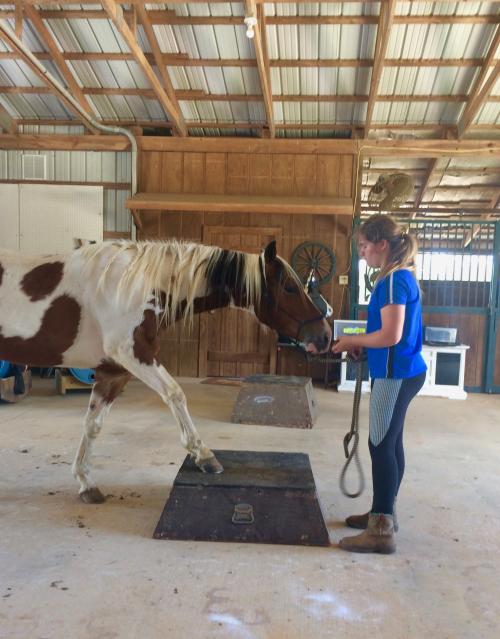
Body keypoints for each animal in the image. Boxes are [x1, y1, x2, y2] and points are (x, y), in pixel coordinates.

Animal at [0, 240, 332, 504]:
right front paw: (204, 456)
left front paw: (86, 482)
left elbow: (92, 425)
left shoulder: (113, 372)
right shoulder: (136, 356)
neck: (134, 286)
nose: (325, 336)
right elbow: (176, 394)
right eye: (289, 287)